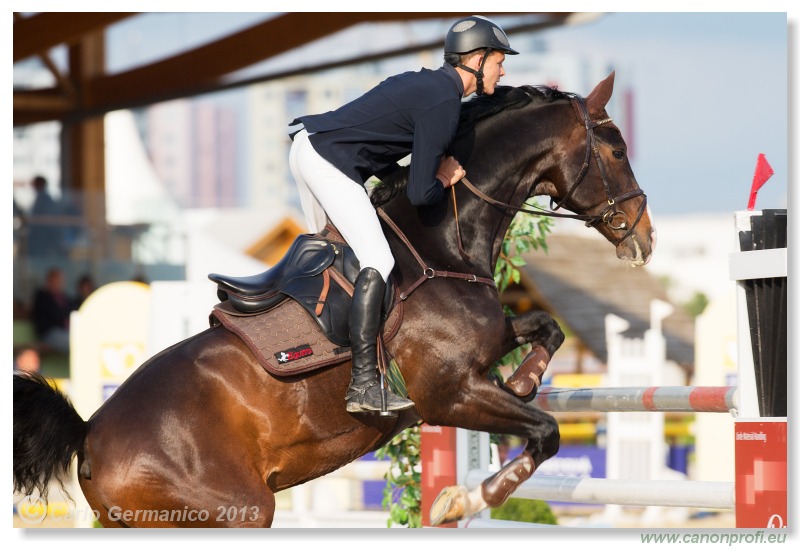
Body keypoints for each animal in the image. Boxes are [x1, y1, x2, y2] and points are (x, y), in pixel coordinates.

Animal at [14, 71, 656, 528]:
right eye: (617, 150)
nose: (644, 238)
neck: (441, 242)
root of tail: (91, 431)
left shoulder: (487, 351)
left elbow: (546, 328)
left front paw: (523, 378)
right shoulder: (449, 395)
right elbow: (545, 434)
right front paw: (465, 500)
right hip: (238, 513)